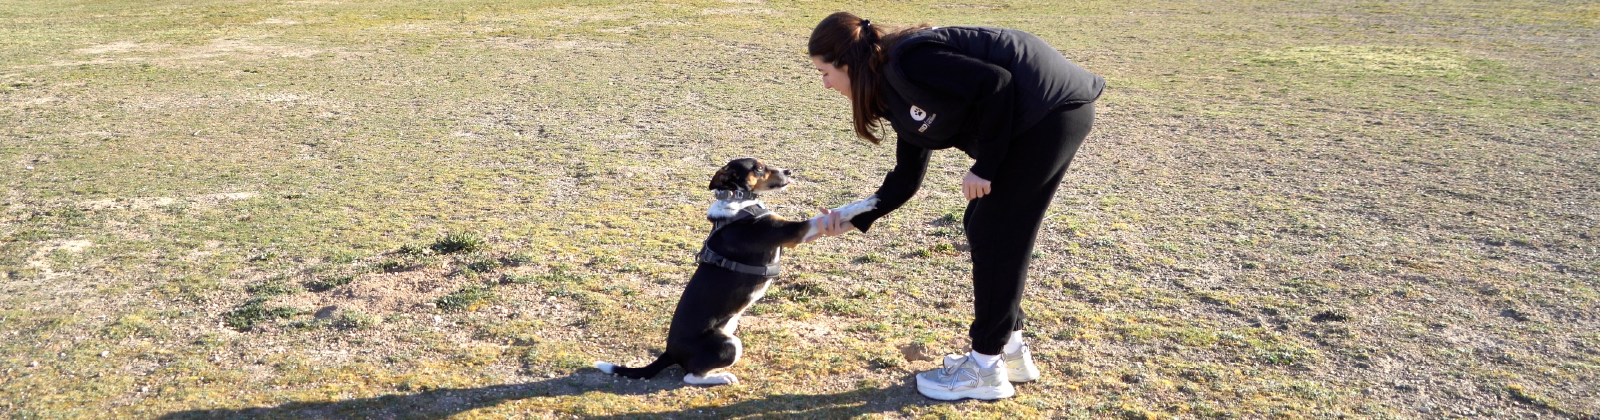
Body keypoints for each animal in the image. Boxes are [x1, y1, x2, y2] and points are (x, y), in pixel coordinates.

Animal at [595, 158, 883, 387]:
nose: (789, 170)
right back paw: (722, 377)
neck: (739, 204)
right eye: (759, 167)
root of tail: (669, 352)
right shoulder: (793, 232)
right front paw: (868, 201)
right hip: (730, 344)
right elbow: (841, 210)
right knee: (690, 376)